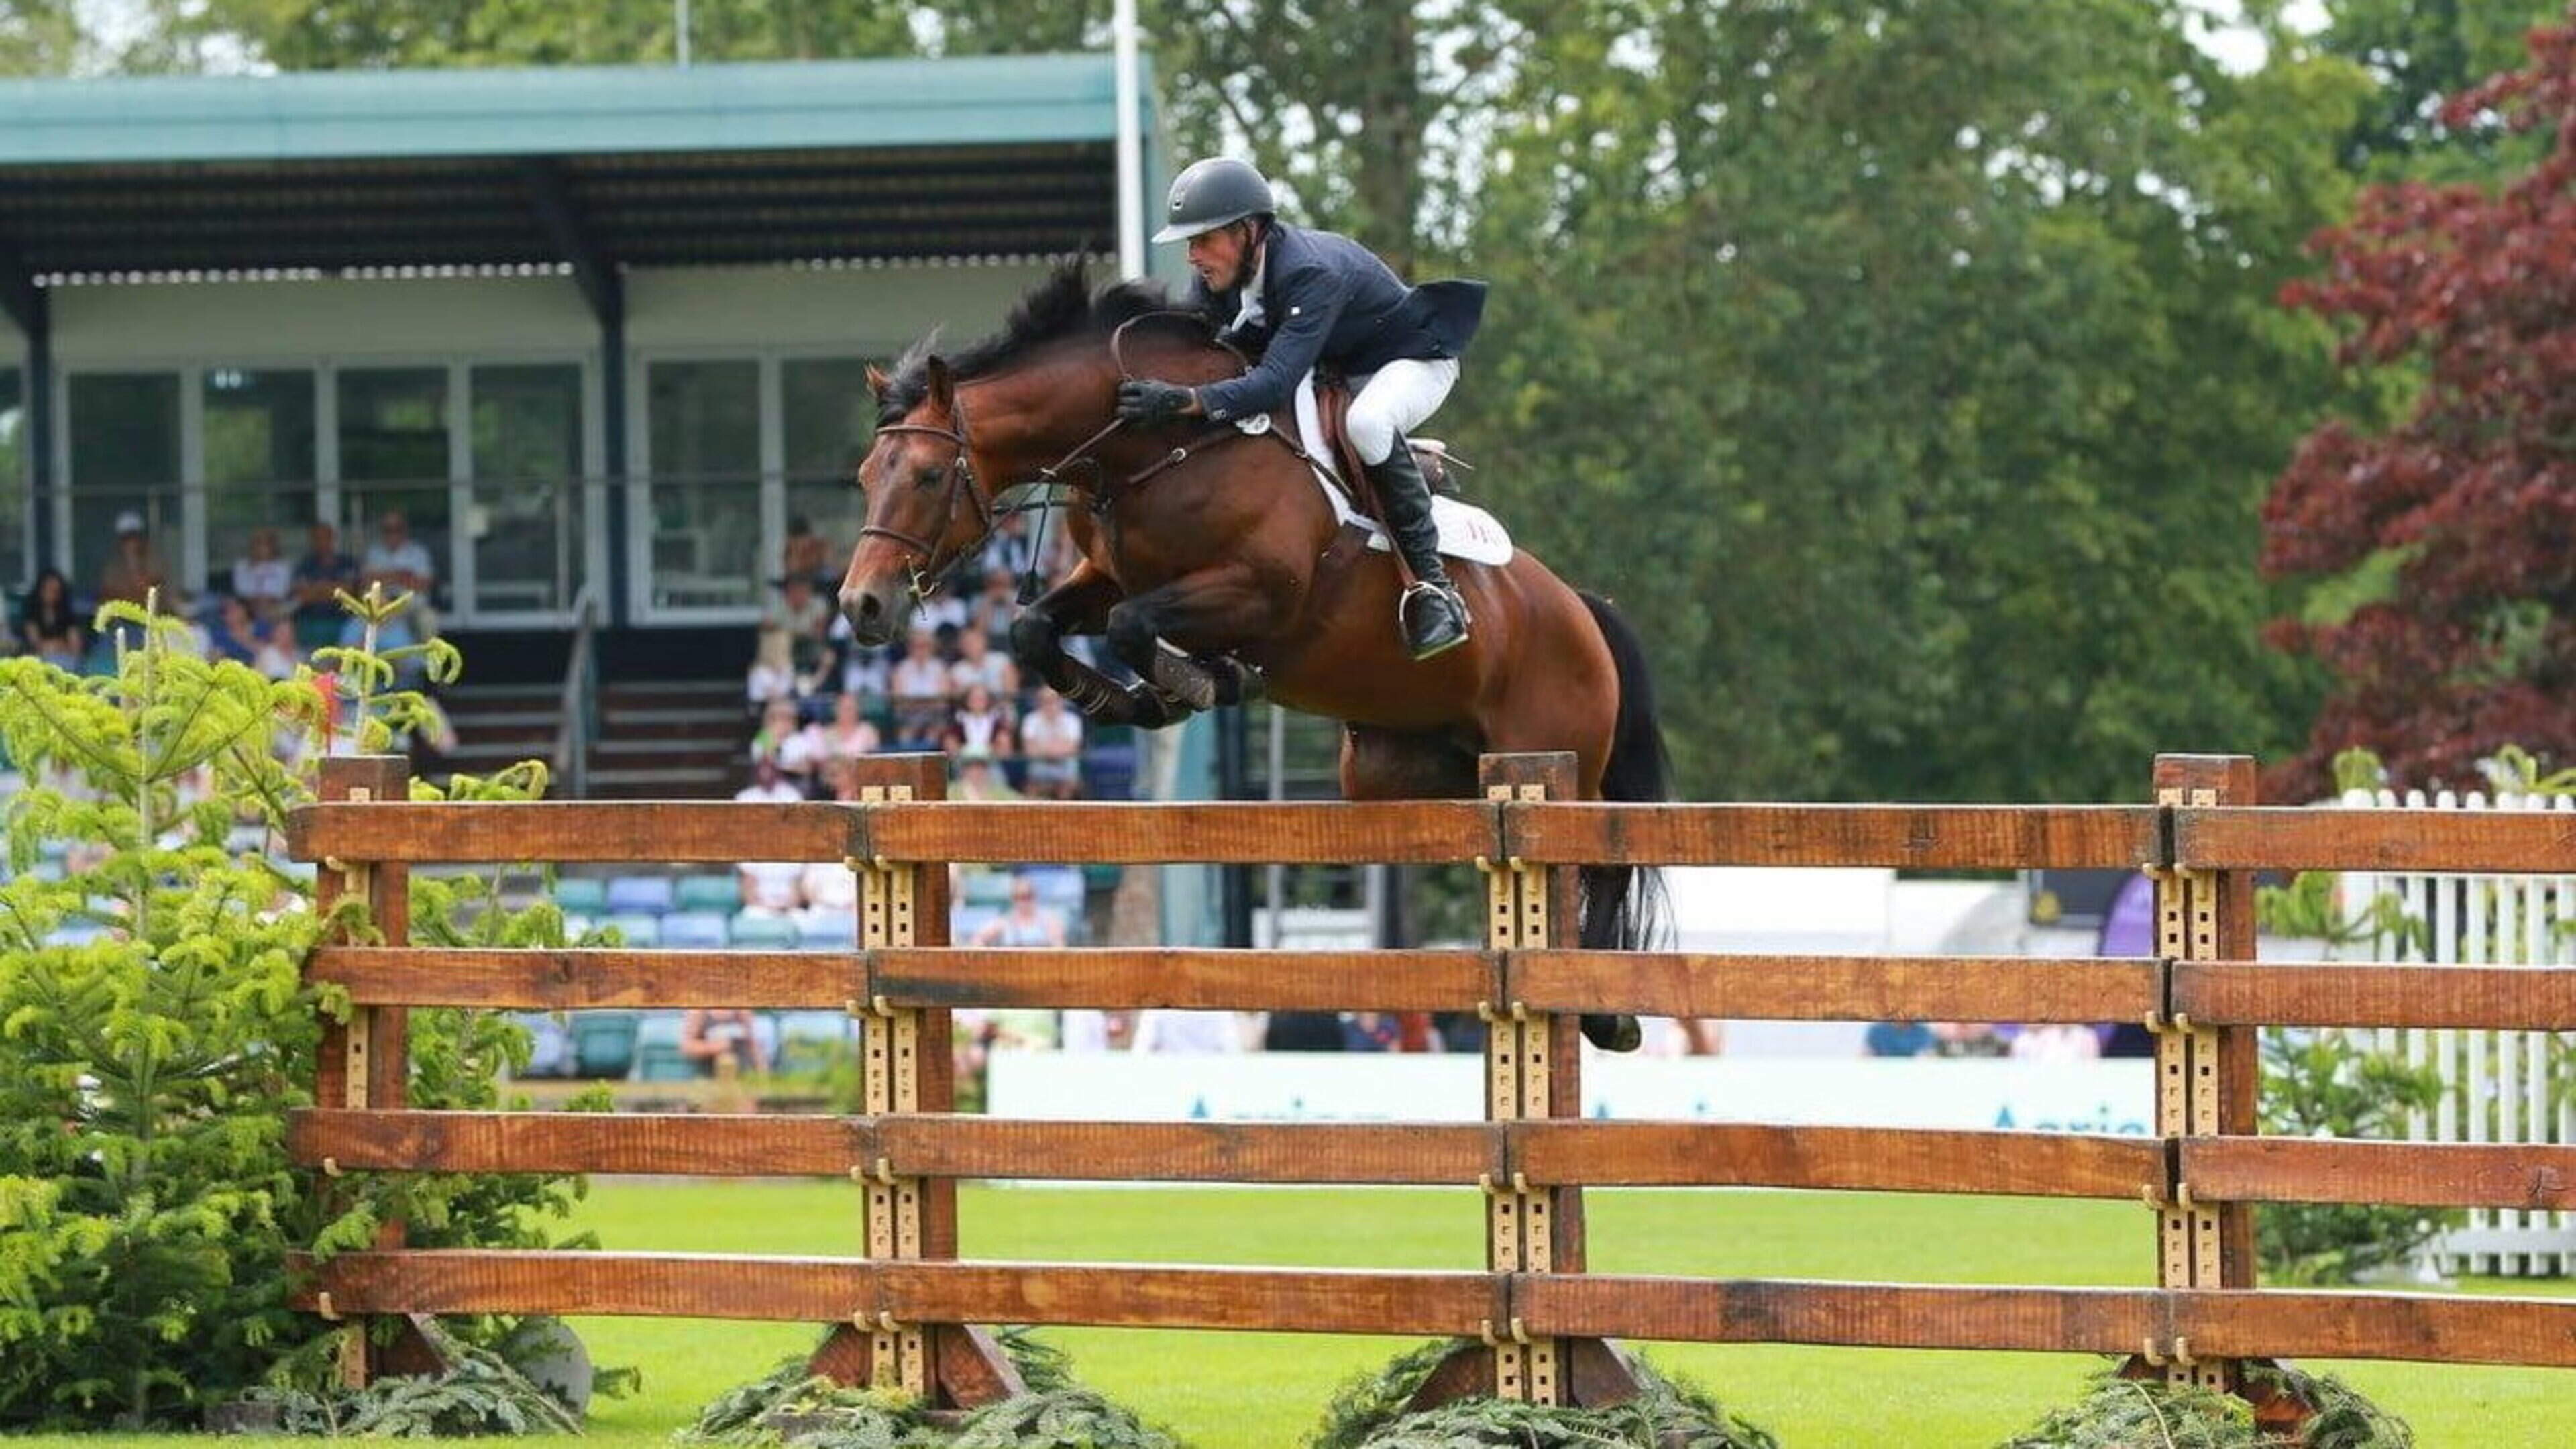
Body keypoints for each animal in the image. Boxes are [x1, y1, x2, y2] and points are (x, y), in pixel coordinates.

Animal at [837, 264, 1668, 1049]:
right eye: (865, 479)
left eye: (928, 476)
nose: (861, 606)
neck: (1147, 448)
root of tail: (1582, 611)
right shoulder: (1108, 577)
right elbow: (1037, 629)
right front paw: (1137, 696)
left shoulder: (1260, 594)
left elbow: (1134, 628)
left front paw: (1197, 683)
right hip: (1411, 769)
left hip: (1549, 752)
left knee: (1604, 850)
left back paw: (1606, 1013)